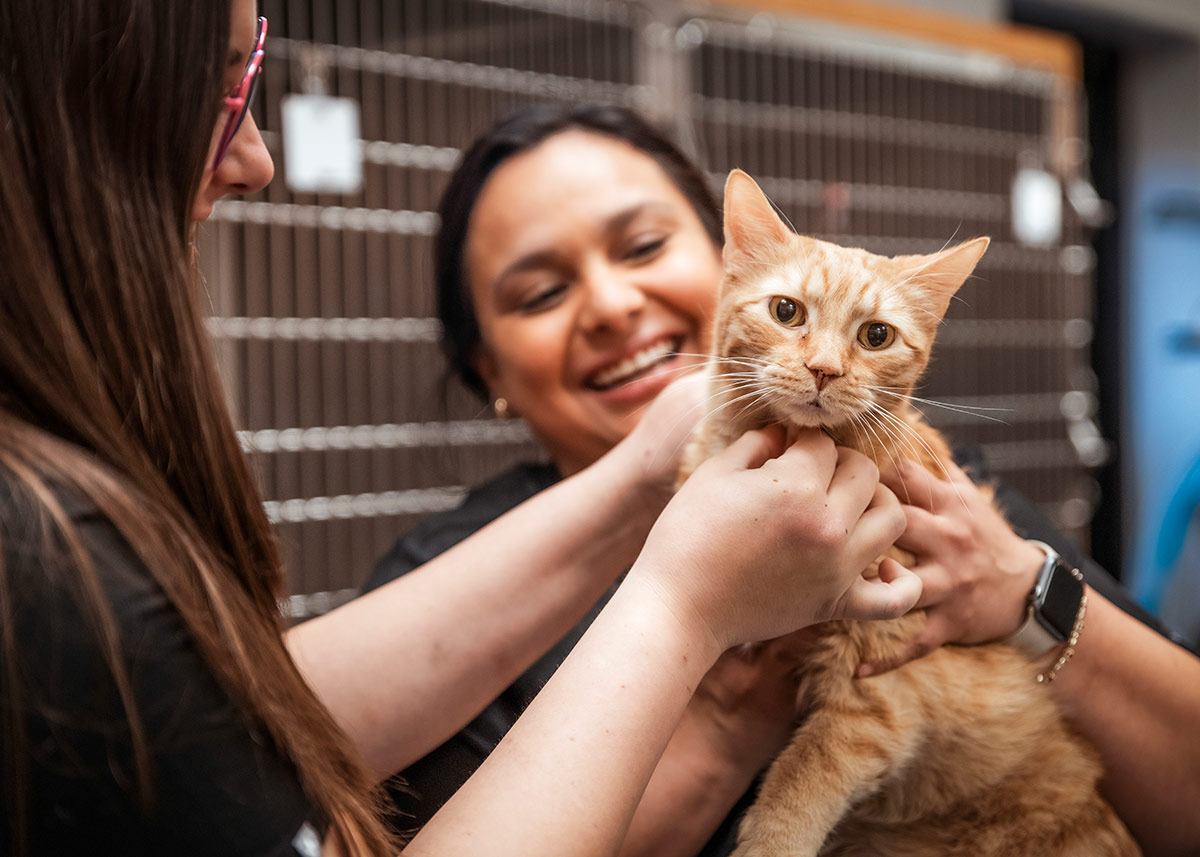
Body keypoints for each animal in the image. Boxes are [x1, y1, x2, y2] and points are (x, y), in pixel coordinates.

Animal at [681, 166, 1137, 854]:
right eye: (787, 311)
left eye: (876, 336)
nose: (823, 370)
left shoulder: (879, 690)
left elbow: (796, 792)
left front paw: (769, 839)